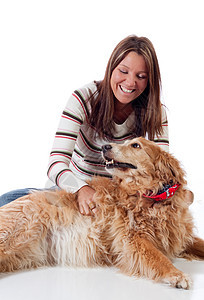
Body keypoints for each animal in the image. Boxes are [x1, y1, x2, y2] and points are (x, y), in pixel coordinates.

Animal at [0, 138, 204, 288]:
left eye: (135, 145)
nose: (105, 146)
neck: (154, 196)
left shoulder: (180, 235)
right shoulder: (132, 239)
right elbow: (158, 258)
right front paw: (176, 275)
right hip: (19, 232)